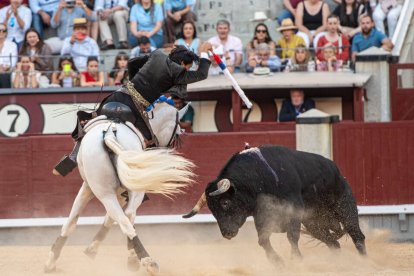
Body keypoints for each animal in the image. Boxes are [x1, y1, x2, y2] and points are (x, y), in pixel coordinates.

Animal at [44, 101, 194, 274]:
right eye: (177, 133)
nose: (166, 150)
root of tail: (110, 134)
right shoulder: (106, 189)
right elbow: (90, 220)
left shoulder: (90, 187)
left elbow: (75, 221)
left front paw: (54, 259)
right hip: (125, 189)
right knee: (127, 215)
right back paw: (143, 261)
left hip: (106, 192)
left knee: (124, 217)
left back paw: (143, 260)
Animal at [184, 146, 366, 264]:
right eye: (212, 210)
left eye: (225, 202)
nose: (227, 234)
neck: (258, 177)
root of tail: (337, 172)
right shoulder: (262, 216)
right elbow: (263, 240)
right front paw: (278, 262)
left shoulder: (293, 211)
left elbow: (292, 237)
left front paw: (296, 260)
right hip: (314, 222)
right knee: (333, 243)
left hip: (345, 206)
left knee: (357, 235)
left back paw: (364, 261)